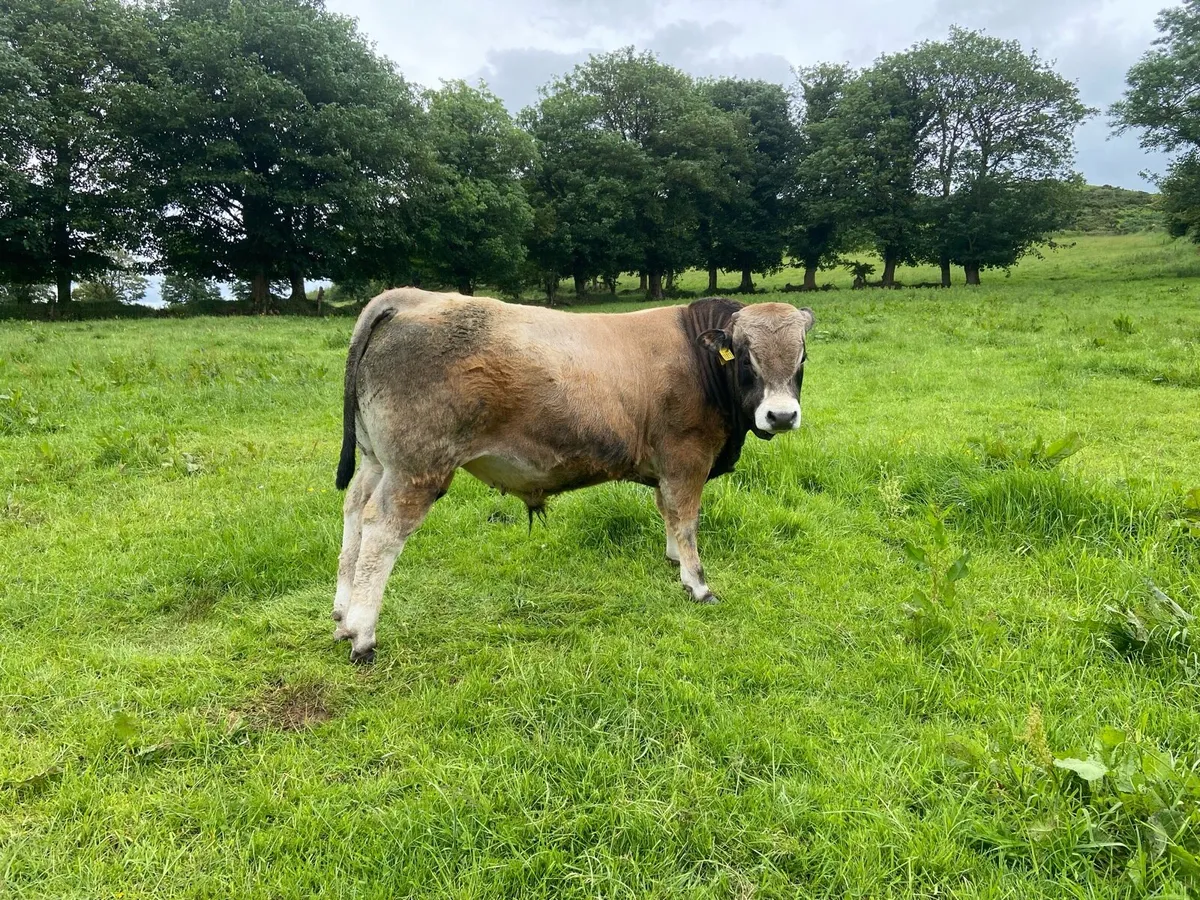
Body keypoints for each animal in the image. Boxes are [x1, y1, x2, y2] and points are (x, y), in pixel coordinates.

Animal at [332, 288, 814, 663]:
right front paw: (697, 583)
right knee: (381, 528)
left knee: (354, 512)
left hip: (375, 460)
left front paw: (674, 558)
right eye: (747, 359)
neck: (700, 361)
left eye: (802, 358)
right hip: (416, 469)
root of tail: (409, 297)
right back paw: (362, 635)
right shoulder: (687, 459)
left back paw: (341, 615)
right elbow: (687, 520)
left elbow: (669, 514)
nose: (781, 416)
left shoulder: (667, 468)